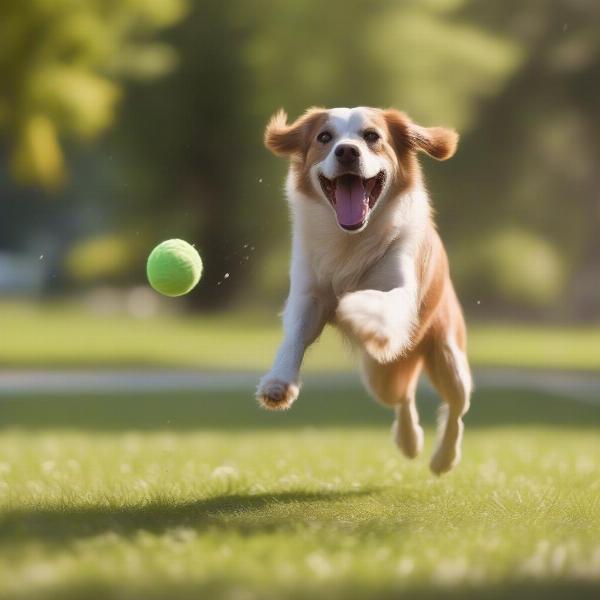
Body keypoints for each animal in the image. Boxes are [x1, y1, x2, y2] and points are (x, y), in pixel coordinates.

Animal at [255, 106, 472, 474]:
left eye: (372, 136)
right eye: (324, 137)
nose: (346, 151)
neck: (351, 241)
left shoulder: (403, 289)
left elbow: (379, 300)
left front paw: (356, 311)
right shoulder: (308, 292)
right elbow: (296, 334)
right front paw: (278, 382)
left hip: (447, 353)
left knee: (457, 407)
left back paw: (444, 458)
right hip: (379, 375)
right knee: (402, 396)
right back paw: (409, 440)